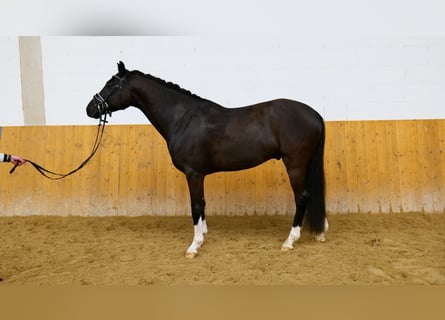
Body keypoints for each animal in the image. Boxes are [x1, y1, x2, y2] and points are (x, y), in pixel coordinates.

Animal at [86, 62, 326, 258]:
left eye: (110, 84)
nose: (90, 108)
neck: (183, 119)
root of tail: (315, 114)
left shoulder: (193, 173)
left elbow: (195, 205)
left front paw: (194, 245)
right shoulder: (198, 174)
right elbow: (202, 204)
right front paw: (202, 236)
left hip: (295, 164)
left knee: (302, 197)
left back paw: (289, 241)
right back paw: (320, 232)